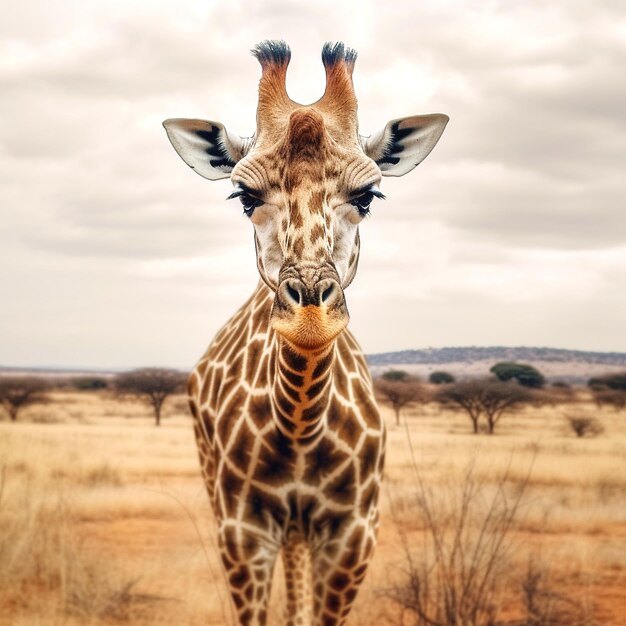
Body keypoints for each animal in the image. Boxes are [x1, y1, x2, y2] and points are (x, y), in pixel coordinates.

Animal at [161, 40, 444, 624]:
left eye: (368, 196)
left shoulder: (353, 535)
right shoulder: (242, 533)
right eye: (244, 197)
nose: (310, 315)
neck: (299, 430)